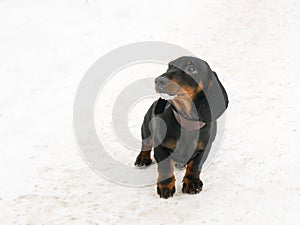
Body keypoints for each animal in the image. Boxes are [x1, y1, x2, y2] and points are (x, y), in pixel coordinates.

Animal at [134, 56, 227, 199]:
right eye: (169, 66)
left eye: (192, 69)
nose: (159, 80)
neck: (187, 122)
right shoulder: (161, 148)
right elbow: (166, 167)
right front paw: (165, 187)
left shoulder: (203, 149)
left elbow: (195, 166)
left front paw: (192, 183)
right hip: (146, 126)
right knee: (146, 143)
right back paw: (143, 158)